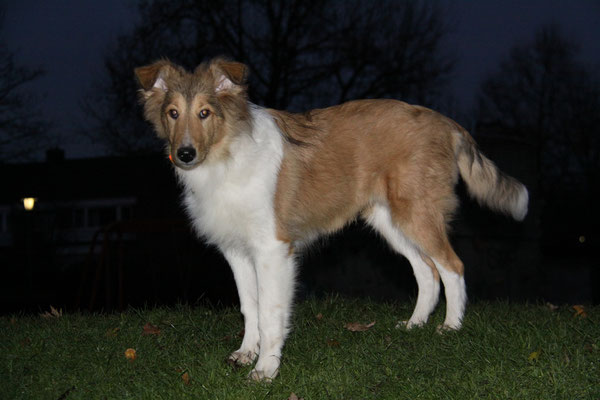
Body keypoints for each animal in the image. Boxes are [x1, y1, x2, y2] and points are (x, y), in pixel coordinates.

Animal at [135, 57, 524, 382]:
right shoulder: (237, 250)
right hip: (390, 220)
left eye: (205, 113)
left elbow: (270, 311)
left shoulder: (272, 249)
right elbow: (250, 306)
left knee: (452, 266)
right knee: (426, 270)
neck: (226, 154)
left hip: (417, 212)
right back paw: (414, 325)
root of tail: (445, 122)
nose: (185, 154)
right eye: (172, 113)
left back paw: (451, 327)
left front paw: (266, 369)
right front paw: (246, 353)